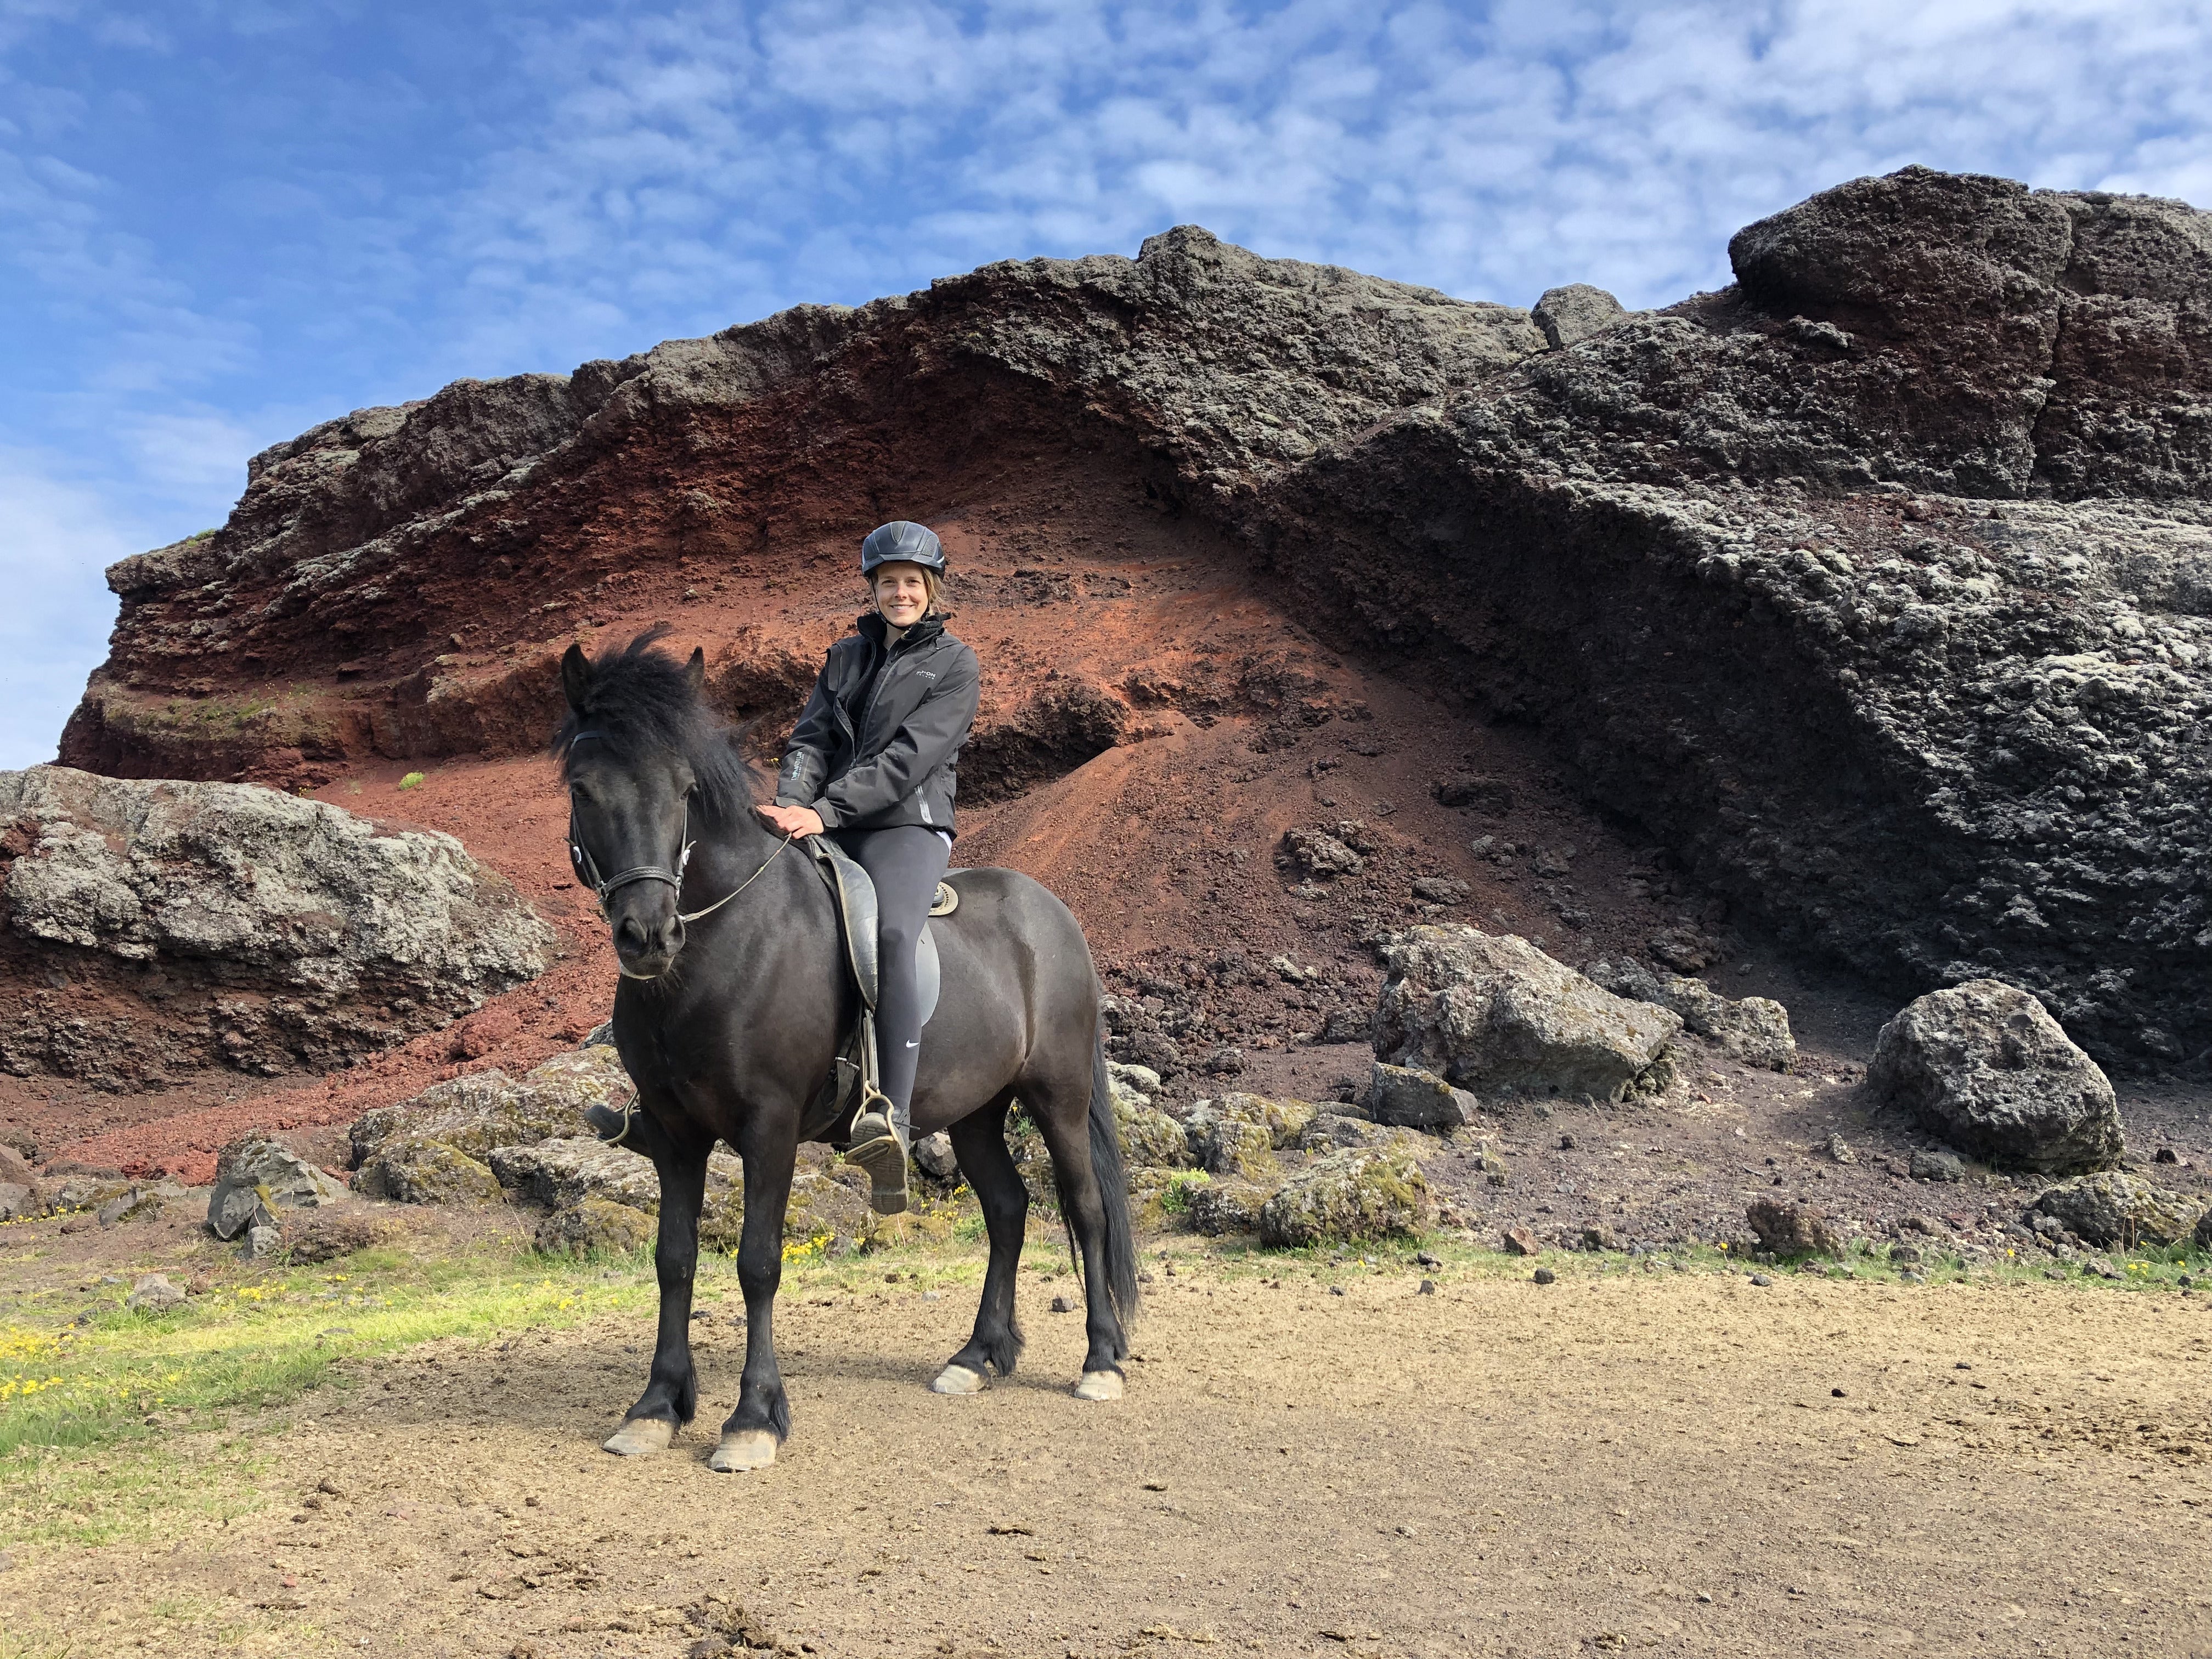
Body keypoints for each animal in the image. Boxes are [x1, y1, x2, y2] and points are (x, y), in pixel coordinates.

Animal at [553, 629, 1140, 1471]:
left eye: (685, 788)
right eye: (582, 790)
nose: (648, 935)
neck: (722, 947)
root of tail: (1053, 915)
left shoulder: (768, 1129)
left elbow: (757, 1263)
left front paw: (753, 1419)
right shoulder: (675, 1137)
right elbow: (674, 1261)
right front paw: (657, 1406)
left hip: (1058, 1099)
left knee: (1084, 1210)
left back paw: (1100, 1361)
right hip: (976, 1113)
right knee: (1008, 1210)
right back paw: (977, 1357)